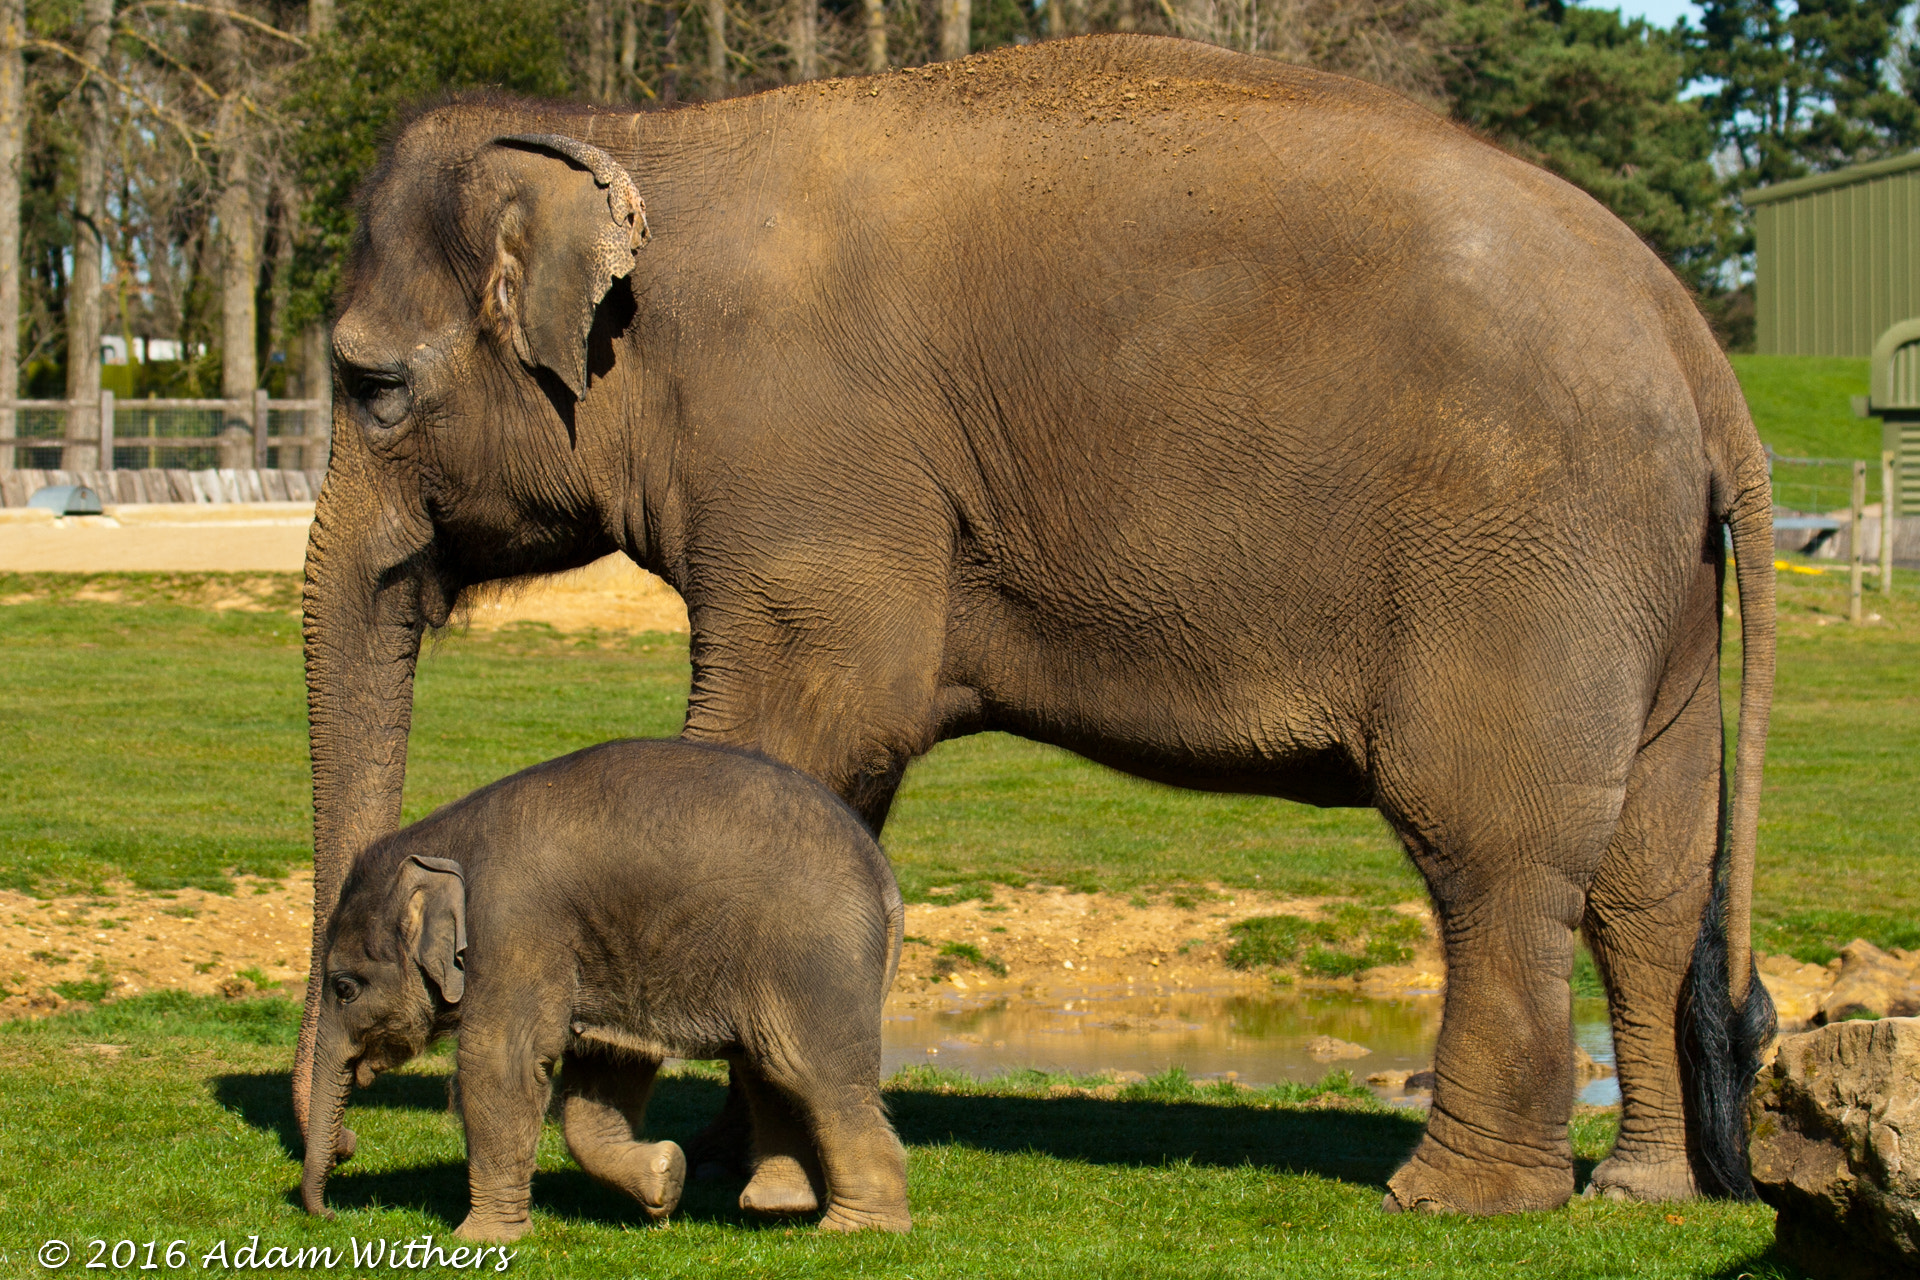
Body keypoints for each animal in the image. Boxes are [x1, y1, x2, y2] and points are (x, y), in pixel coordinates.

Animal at [299, 738, 912, 1240]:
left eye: (345, 988)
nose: (331, 1215)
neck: (442, 843)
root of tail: (884, 876)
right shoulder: (599, 953)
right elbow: (605, 1066)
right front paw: (666, 1178)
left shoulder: (515, 927)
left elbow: (500, 1061)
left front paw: (478, 1242)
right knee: (767, 1068)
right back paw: (777, 1207)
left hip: (811, 960)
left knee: (813, 1072)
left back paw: (858, 1230)